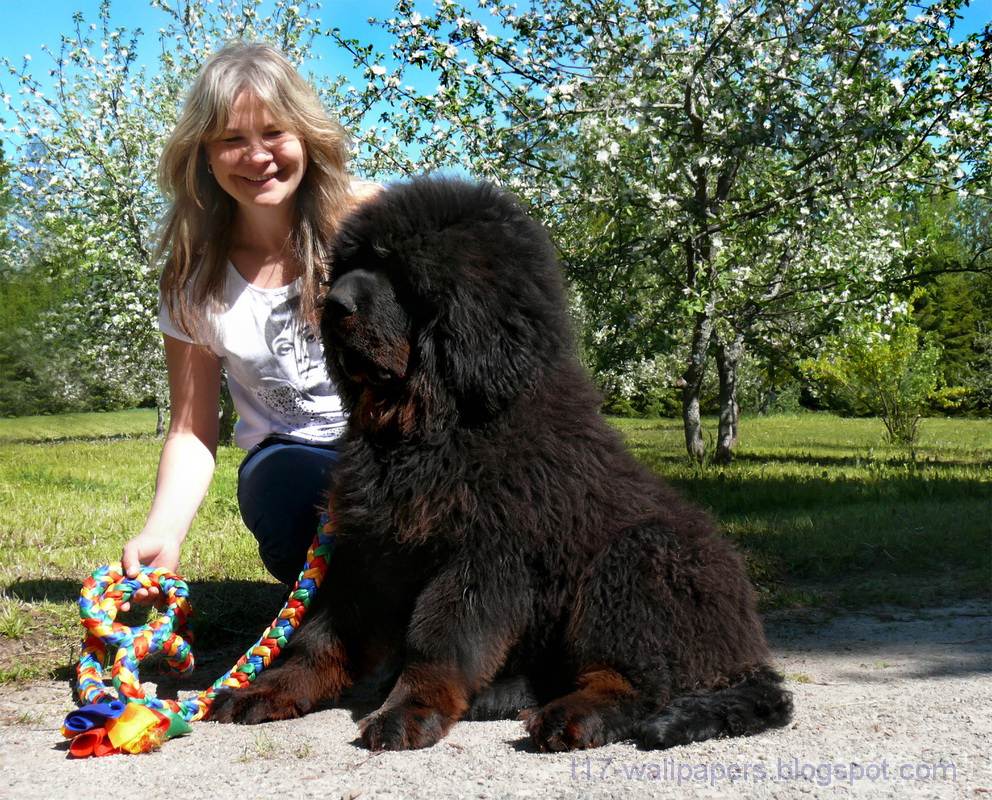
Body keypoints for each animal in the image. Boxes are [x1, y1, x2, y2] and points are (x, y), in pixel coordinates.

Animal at [213, 175, 796, 752]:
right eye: (351, 265)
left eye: (400, 274)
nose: (330, 305)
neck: (436, 425)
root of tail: (747, 648)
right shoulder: (370, 546)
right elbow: (322, 636)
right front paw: (270, 688)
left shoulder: (487, 554)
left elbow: (438, 640)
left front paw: (408, 711)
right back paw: (504, 694)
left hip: (637, 562)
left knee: (637, 680)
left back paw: (569, 716)